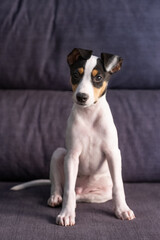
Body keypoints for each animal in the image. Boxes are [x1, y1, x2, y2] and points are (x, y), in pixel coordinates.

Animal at [11, 48, 136, 227]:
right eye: (76, 74)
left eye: (98, 78)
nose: (81, 97)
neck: (89, 115)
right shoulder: (72, 156)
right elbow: (68, 190)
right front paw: (66, 214)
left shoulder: (113, 153)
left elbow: (119, 186)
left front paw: (122, 210)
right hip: (58, 154)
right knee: (61, 187)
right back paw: (56, 198)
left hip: (102, 193)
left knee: (81, 196)